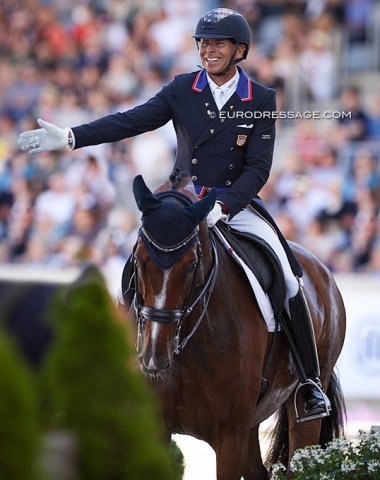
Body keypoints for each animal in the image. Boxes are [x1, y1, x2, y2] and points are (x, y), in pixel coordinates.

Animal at [126, 171, 346, 478]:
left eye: (191, 264)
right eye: (138, 259)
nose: (154, 356)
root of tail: (321, 267)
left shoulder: (230, 435)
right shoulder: (157, 427)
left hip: (303, 404)